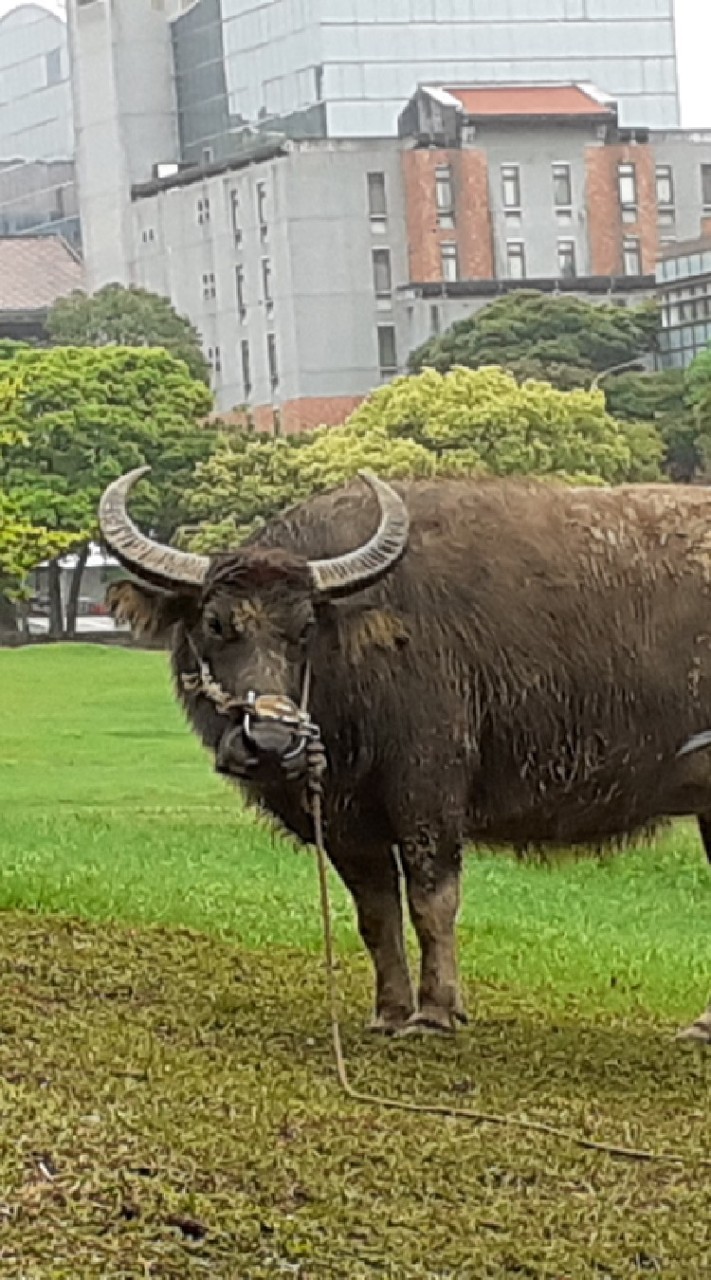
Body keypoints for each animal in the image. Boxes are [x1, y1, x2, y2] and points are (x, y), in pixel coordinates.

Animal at [101, 471, 711, 1039]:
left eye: (306, 627)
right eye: (214, 622)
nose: (272, 743)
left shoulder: (429, 791)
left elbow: (431, 901)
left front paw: (437, 1011)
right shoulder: (344, 819)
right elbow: (377, 915)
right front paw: (390, 1012)